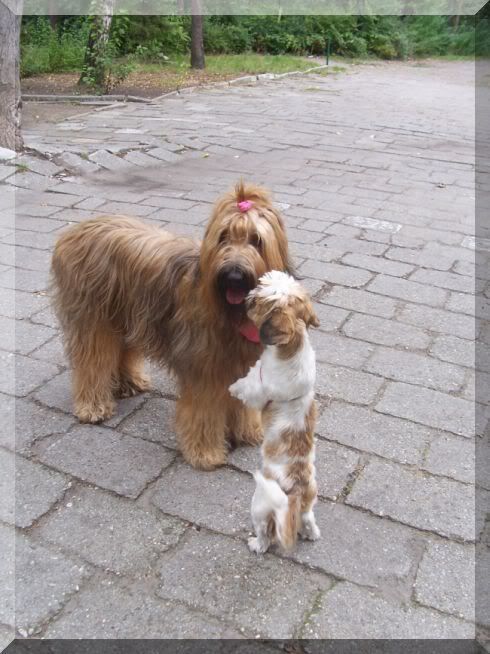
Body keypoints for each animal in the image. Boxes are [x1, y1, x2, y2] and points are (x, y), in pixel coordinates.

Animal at [50, 182, 293, 470]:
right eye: (223, 237)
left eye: (256, 241)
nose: (233, 275)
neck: (229, 314)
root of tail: (74, 231)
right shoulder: (202, 369)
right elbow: (203, 411)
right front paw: (205, 453)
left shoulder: (241, 363)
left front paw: (246, 432)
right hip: (94, 320)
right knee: (92, 363)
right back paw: (93, 407)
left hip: (128, 317)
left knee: (122, 352)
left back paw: (129, 383)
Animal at [229, 270, 320, 553]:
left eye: (261, 301)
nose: (248, 296)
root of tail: (296, 493)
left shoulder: (259, 386)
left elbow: (246, 385)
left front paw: (232, 388)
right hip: (308, 506)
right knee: (308, 520)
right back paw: (309, 534)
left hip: (260, 504)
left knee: (266, 534)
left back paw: (256, 543)